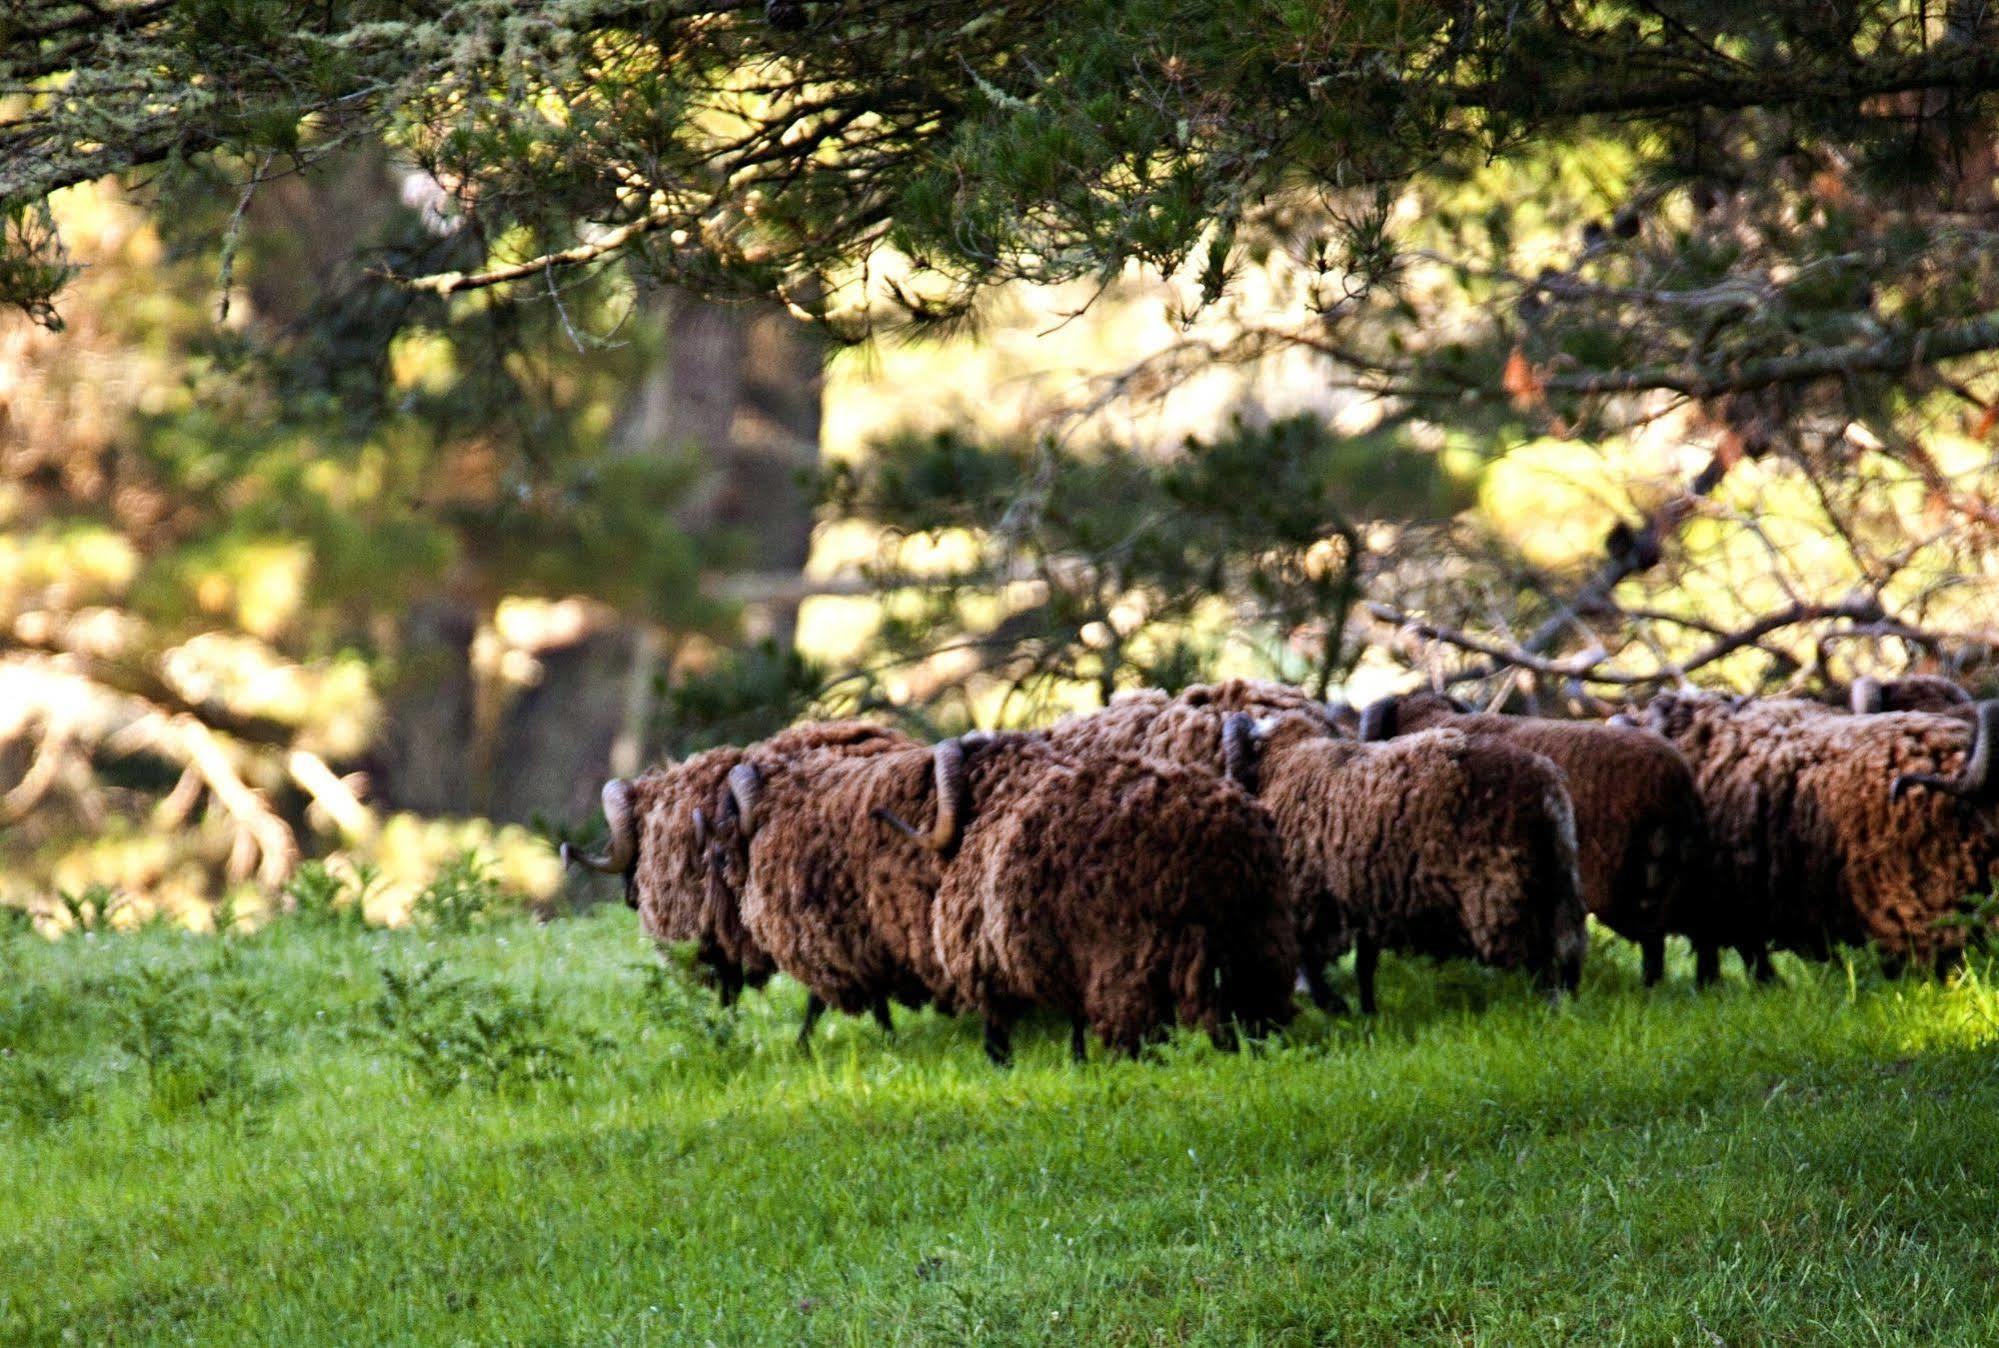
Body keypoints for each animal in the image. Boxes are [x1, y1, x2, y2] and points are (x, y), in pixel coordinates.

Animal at [735, 724, 1295, 1064]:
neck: (996, 798)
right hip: (1259, 944)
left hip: (1132, 966)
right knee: (1257, 1009)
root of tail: (1212, 844)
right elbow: (1069, 1026)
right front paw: (1075, 1061)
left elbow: (999, 1033)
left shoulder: (992, 961)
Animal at [1047, 676, 1591, 1012]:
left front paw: (1336, 1006)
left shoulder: (1308, 895)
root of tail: (1544, 790)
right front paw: (1364, 1010)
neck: (1292, 760)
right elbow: (1364, 962)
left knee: (1538, 953)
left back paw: (1546, 1003)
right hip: (1562, 879)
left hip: (1503, 889)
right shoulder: (1361, 892)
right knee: (1569, 946)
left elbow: (1311, 958)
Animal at [1359, 688, 1735, 980]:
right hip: (1681, 875)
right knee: (1701, 931)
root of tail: (1675, 782)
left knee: (1656, 938)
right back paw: (1703, 985)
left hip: (1624, 883)